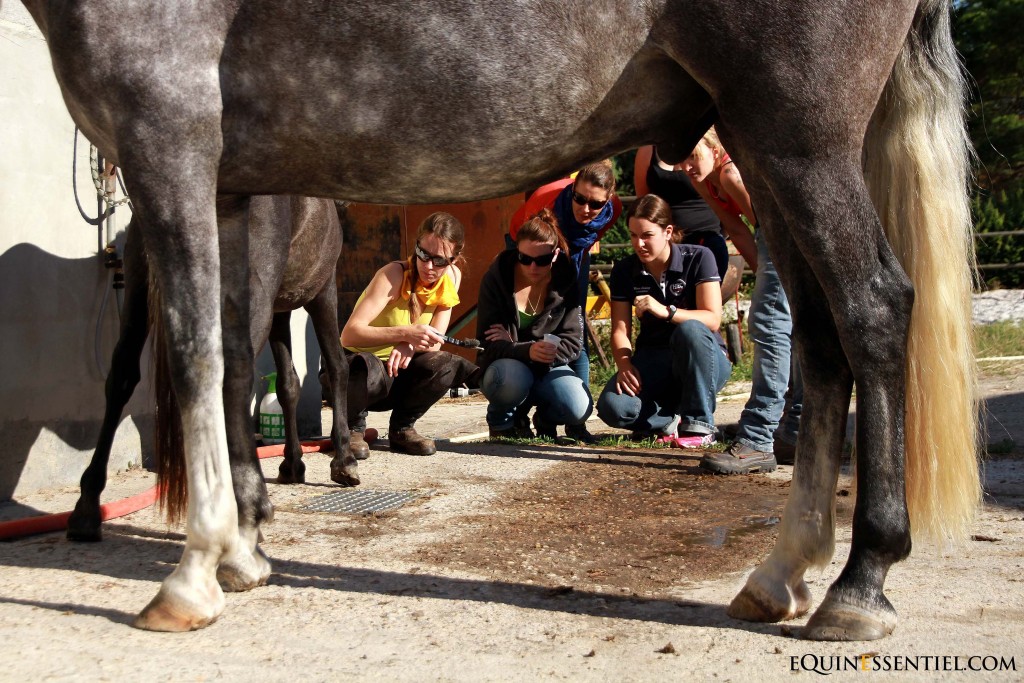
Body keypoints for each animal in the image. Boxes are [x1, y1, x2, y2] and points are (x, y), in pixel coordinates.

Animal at [66, 196, 359, 556]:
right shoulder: (323, 291)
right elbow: (336, 367)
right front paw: (344, 461)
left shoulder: (280, 308)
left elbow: (288, 384)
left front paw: (292, 464)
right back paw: (245, 511)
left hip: (138, 297)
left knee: (121, 376)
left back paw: (87, 509)